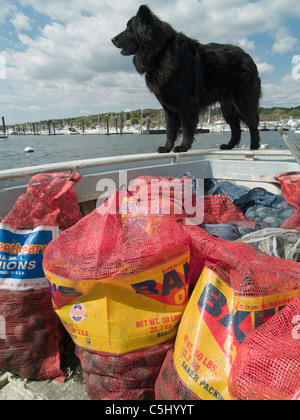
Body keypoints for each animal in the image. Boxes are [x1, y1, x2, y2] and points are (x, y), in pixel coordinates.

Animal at [111, 4, 262, 153]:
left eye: (128, 29)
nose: (112, 39)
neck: (161, 51)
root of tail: (248, 57)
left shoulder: (186, 104)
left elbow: (187, 129)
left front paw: (183, 147)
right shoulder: (169, 109)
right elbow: (170, 130)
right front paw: (167, 148)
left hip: (243, 101)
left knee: (253, 123)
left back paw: (254, 146)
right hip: (227, 107)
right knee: (236, 128)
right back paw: (228, 146)